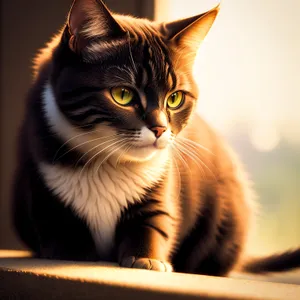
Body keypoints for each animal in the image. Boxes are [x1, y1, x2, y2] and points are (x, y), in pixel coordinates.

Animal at [10, 0, 298, 276]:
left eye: (175, 98)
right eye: (123, 94)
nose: (159, 129)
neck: (107, 163)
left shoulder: (160, 182)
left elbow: (153, 222)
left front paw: (147, 259)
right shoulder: (42, 180)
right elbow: (58, 221)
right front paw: (72, 253)